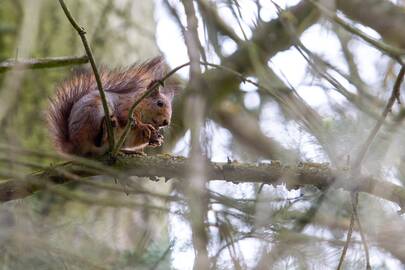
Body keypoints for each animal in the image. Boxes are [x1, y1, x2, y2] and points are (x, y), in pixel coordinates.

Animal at [46, 56, 176, 156]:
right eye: (159, 103)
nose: (166, 122)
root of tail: (73, 146)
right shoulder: (125, 105)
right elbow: (125, 116)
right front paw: (144, 126)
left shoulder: (132, 135)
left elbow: (135, 138)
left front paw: (156, 138)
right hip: (92, 114)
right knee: (96, 140)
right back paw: (107, 128)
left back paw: (129, 151)